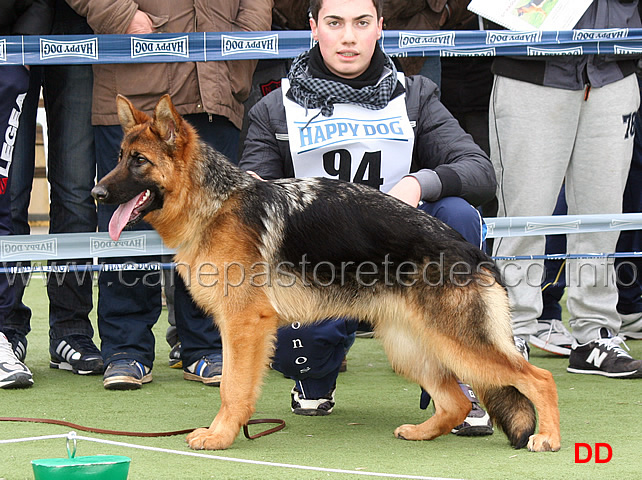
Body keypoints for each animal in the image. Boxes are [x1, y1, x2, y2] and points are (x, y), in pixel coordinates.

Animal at [91, 95, 560, 452]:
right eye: (119, 157)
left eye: (139, 161)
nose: (96, 192)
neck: (214, 203)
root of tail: (474, 251)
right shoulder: (240, 329)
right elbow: (236, 386)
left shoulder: (244, 326)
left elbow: (233, 388)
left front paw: (221, 435)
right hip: (411, 346)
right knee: (454, 401)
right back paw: (422, 433)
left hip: (459, 344)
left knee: (538, 378)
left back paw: (549, 438)